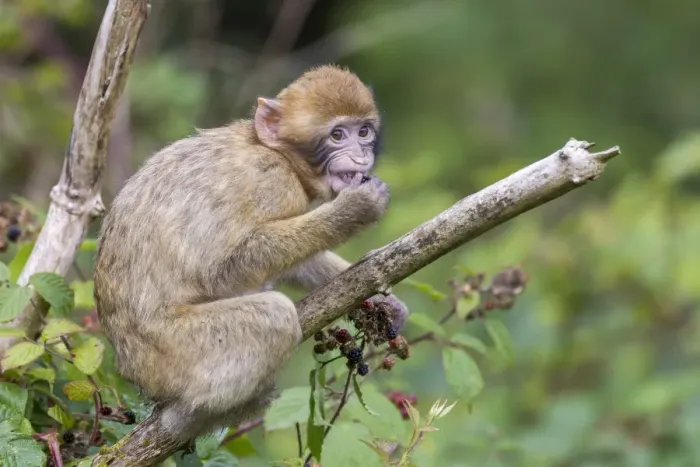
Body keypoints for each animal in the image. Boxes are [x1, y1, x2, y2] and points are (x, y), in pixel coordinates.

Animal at [93, 64, 409, 445]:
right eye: (337, 135)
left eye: (363, 131)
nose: (362, 155)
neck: (273, 150)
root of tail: (129, 366)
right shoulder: (270, 181)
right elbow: (220, 272)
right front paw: (353, 212)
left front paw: (383, 300)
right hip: (174, 350)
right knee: (276, 315)